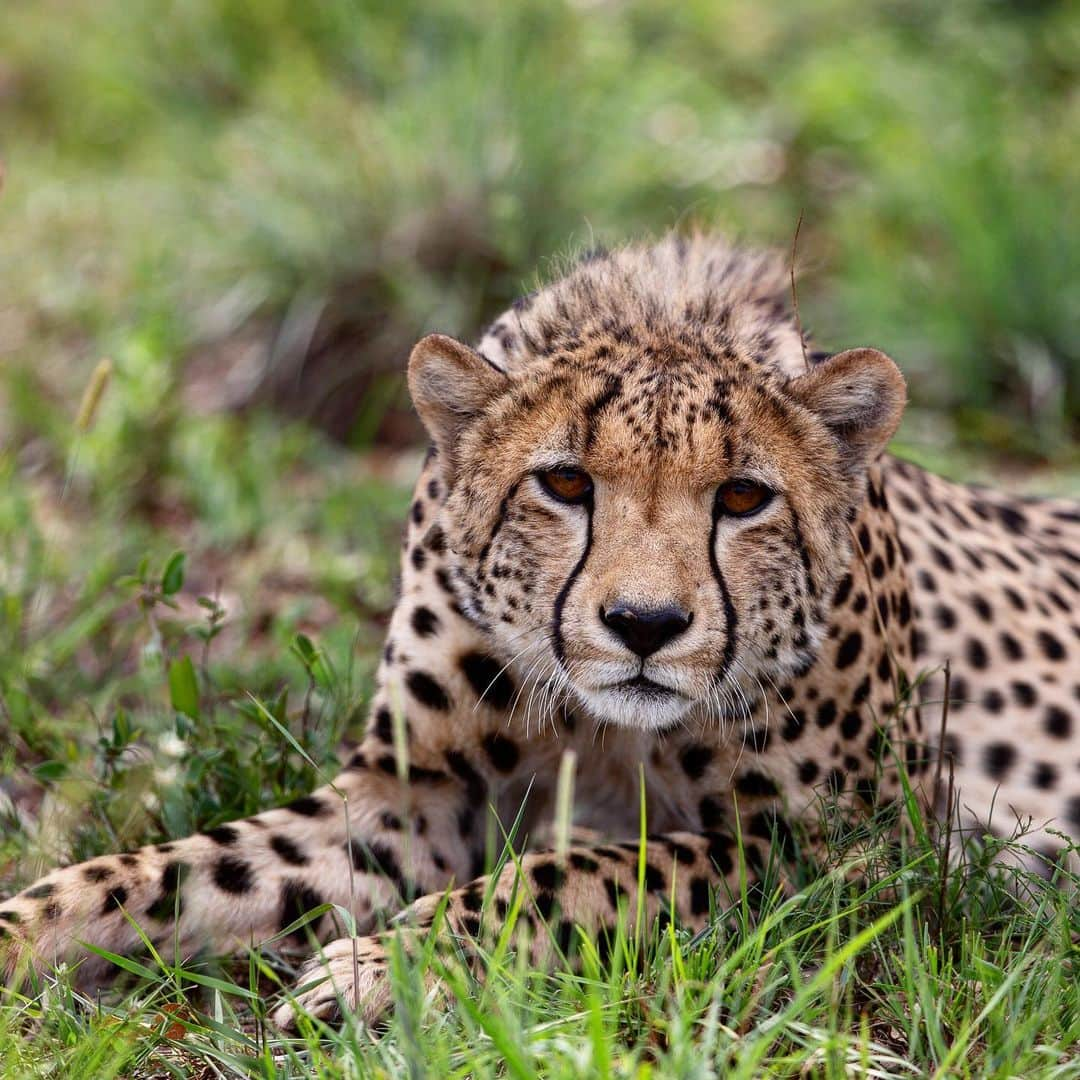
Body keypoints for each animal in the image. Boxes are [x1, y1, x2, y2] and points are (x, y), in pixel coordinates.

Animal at [2, 236, 1080, 1028]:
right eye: (563, 482)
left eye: (744, 497)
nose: (644, 625)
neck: (595, 723)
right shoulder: (409, 795)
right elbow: (176, 867)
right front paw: (23, 928)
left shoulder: (853, 856)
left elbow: (580, 872)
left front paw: (390, 962)